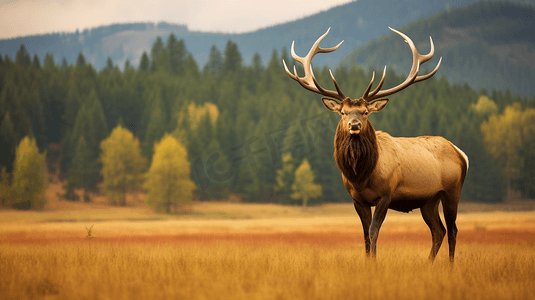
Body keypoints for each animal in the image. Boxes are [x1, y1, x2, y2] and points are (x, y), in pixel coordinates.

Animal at [284, 28, 468, 262]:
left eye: (365, 112)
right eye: (342, 112)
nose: (354, 125)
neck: (362, 176)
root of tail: (460, 153)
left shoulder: (386, 195)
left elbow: (373, 232)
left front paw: (374, 262)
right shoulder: (358, 200)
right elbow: (364, 234)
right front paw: (368, 262)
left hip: (453, 190)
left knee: (452, 229)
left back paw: (451, 265)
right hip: (429, 199)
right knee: (439, 230)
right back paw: (429, 263)